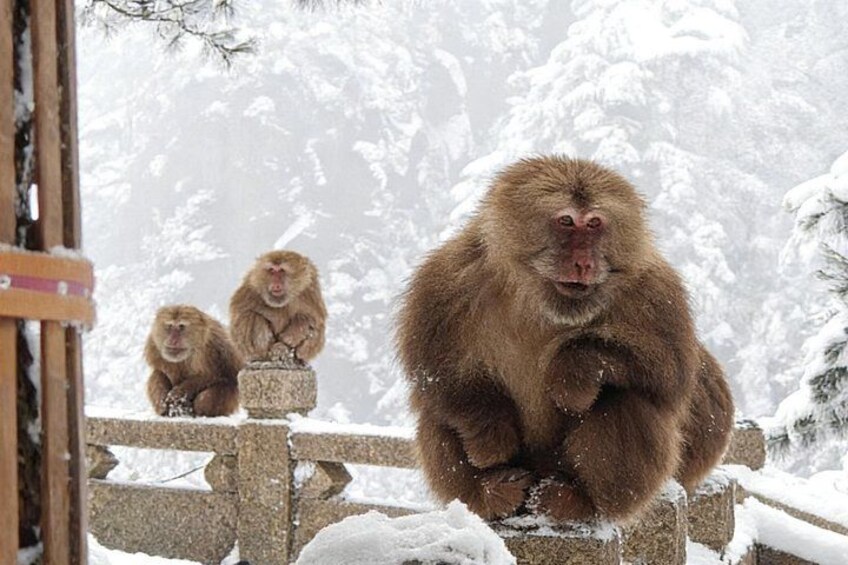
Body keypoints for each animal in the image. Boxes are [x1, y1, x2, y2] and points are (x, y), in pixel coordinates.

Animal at [397, 156, 733, 523]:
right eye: (566, 221)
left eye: (595, 223)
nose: (583, 262)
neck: (544, 298)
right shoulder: (451, 277)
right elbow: (434, 364)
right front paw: (489, 436)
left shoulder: (655, 290)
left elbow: (672, 372)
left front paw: (574, 370)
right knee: (435, 412)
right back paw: (488, 493)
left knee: (625, 396)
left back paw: (580, 500)